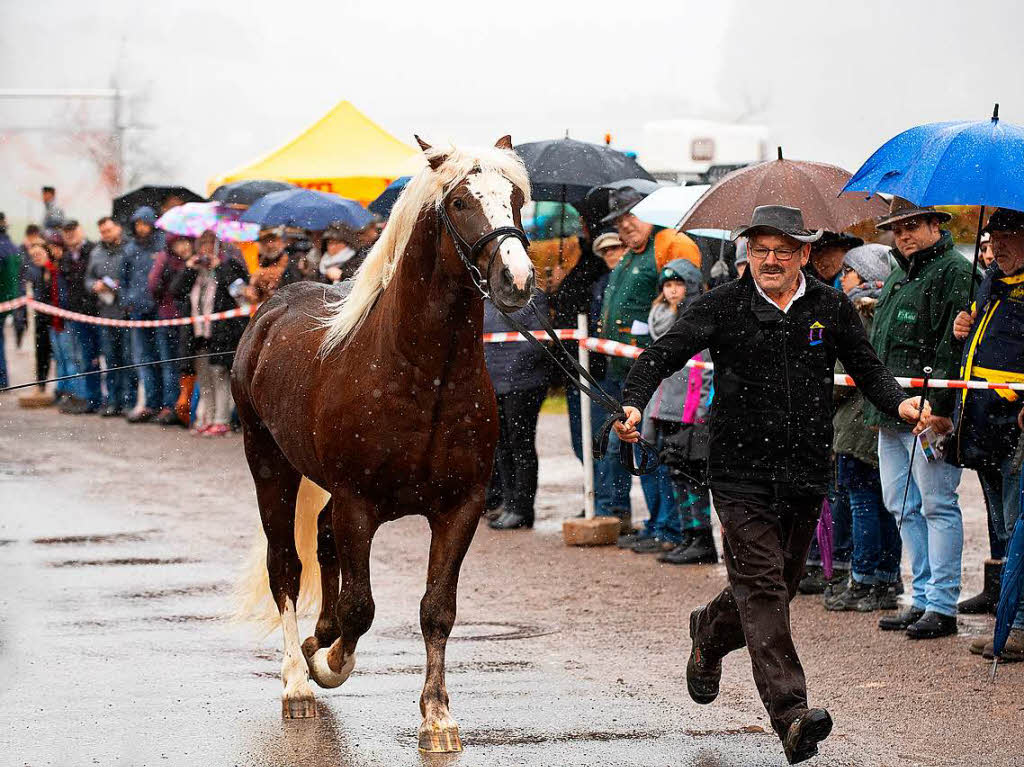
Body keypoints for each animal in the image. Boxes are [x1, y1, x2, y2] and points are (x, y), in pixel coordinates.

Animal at [233, 134, 536, 749]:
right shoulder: (360, 505)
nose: (517, 280)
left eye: (516, 199)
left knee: (321, 542)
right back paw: (297, 681)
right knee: (286, 567)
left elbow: (437, 609)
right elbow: (360, 608)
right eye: (461, 202)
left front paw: (437, 718)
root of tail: (270, 308)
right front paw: (329, 663)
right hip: (270, 464)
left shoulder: (460, 508)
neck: (424, 374)